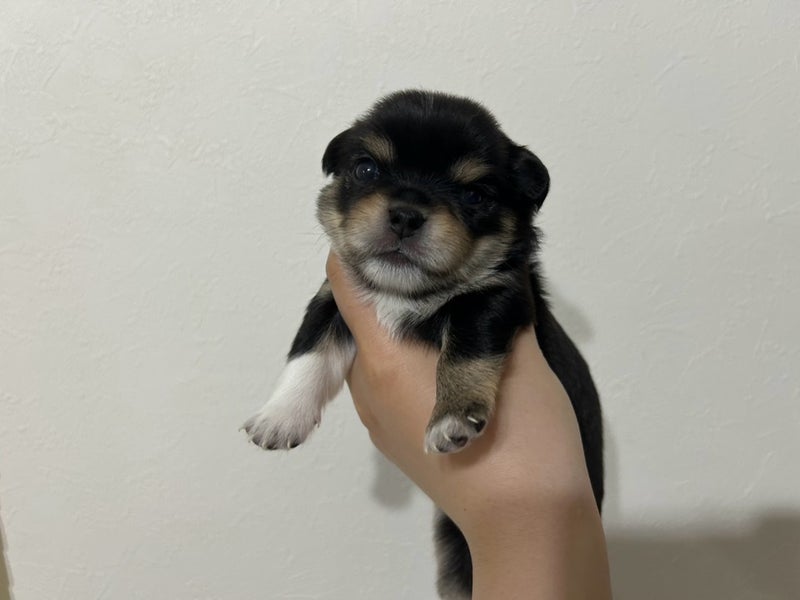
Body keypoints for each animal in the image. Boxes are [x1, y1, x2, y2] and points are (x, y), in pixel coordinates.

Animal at [243, 90, 604, 599]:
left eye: (474, 195)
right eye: (366, 170)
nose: (405, 215)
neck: (403, 293)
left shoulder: (494, 298)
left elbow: (466, 352)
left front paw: (452, 419)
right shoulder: (333, 298)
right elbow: (307, 353)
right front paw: (279, 417)